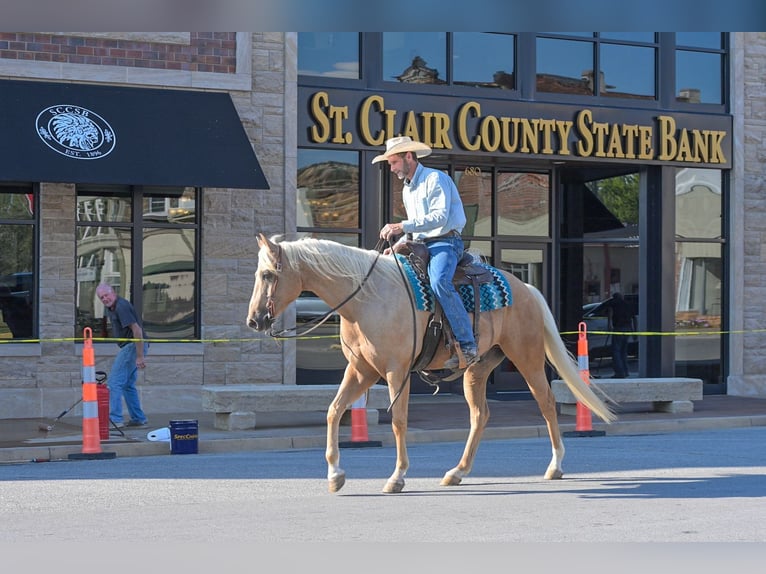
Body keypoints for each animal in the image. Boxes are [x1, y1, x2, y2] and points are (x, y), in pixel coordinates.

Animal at [247, 233, 616, 494]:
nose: (254, 320)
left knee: (547, 404)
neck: (367, 298)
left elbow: (398, 421)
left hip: (526, 356)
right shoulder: (361, 370)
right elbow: (334, 410)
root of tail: (525, 287)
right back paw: (457, 472)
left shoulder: (396, 371)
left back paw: (555, 466)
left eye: (267, 275)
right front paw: (335, 475)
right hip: (477, 369)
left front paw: (397, 477)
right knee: (480, 415)